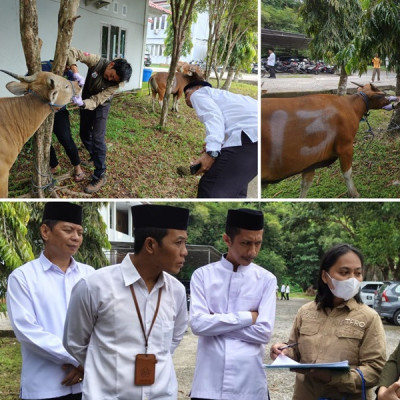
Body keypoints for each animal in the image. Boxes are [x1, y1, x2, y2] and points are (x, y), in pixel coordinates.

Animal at [260, 83, 390, 198]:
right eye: (380, 95)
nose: (391, 101)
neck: (350, 106)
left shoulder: (311, 162)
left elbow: (306, 184)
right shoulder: (346, 147)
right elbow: (347, 173)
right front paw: (354, 194)